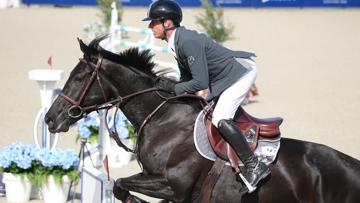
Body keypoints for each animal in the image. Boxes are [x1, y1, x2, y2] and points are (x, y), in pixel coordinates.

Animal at [45, 36, 360, 203]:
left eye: (79, 77)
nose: (50, 119)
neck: (163, 120)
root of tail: (351, 166)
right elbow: (119, 185)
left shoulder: (174, 185)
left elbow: (121, 184)